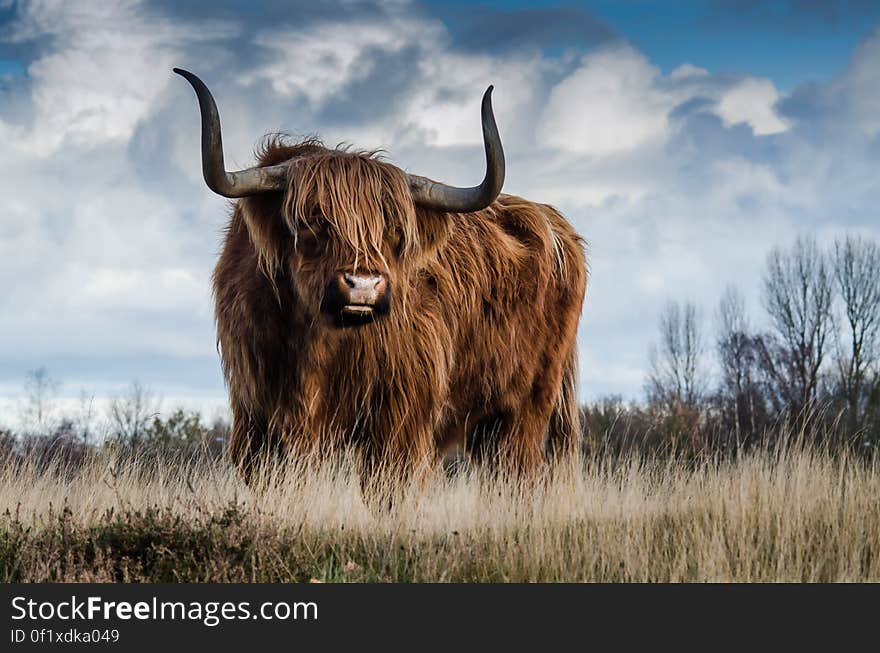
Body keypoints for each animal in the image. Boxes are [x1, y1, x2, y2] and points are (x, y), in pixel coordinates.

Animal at [175, 69, 588, 486]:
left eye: (395, 232)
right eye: (311, 222)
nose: (363, 286)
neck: (316, 344)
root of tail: (557, 224)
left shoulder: (400, 419)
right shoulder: (257, 417)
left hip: (525, 409)